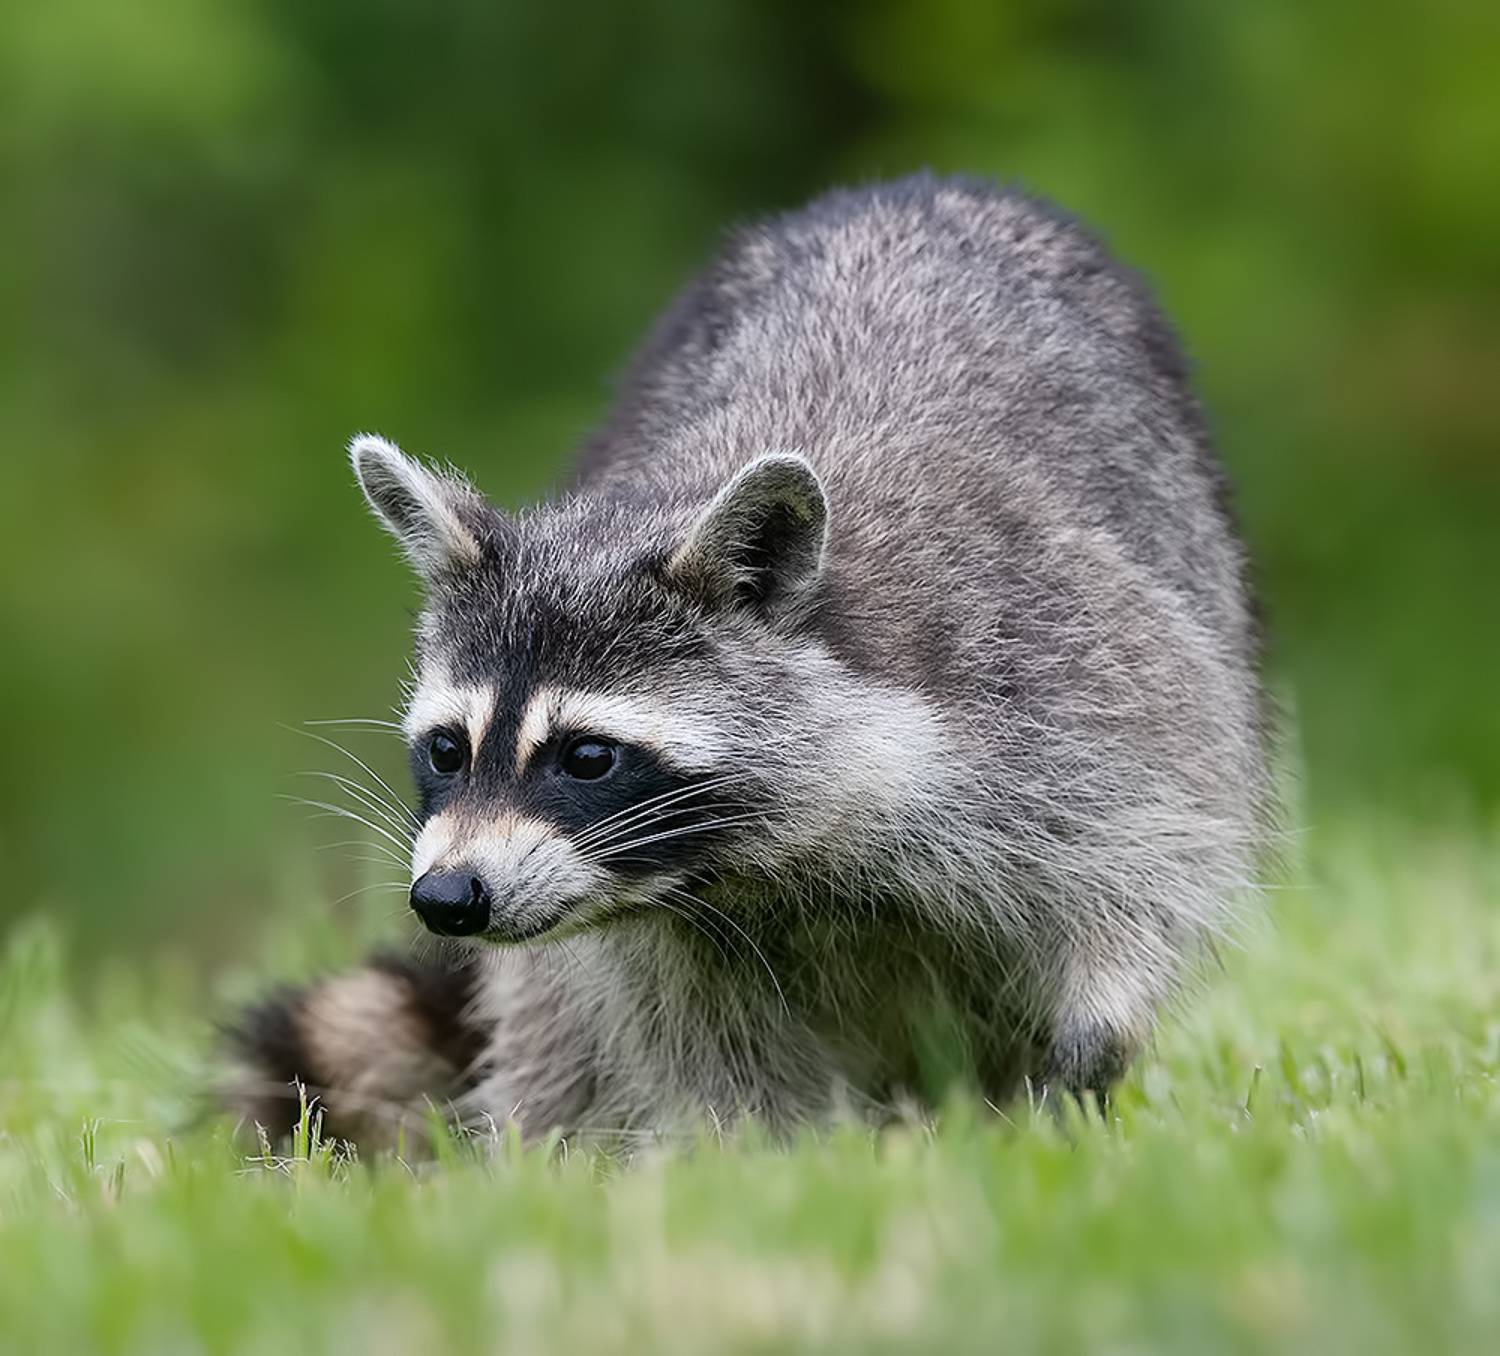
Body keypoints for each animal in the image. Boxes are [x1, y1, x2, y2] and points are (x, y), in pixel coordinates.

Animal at [229, 173, 1269, 1148]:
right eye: (448, 749)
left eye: (588, 756)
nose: (447, 897)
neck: (767, 869)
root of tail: (913, 187)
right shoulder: (664, 935)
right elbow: (702, 1054)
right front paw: (764, 1159)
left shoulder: (1074, 674)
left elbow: (1142, 871)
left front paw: (1087, 1053)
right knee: (551, 1019)